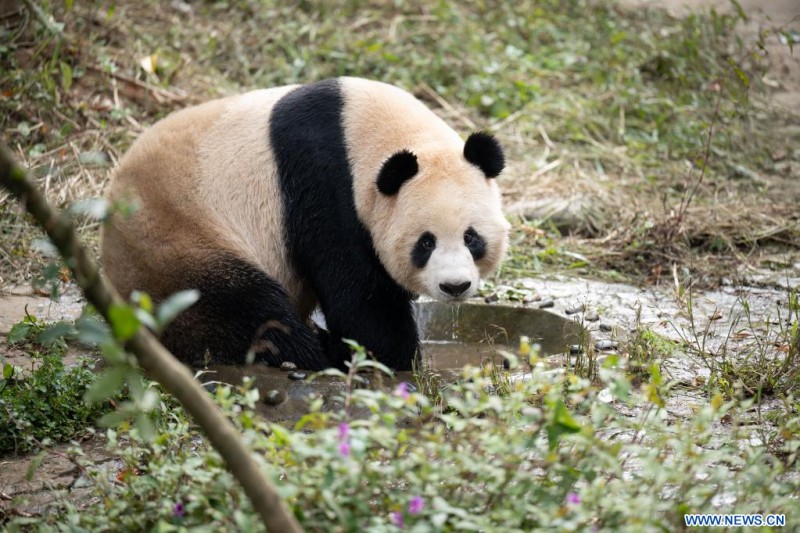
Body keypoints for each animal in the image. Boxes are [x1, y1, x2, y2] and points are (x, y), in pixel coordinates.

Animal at [101, 77, 509, 371]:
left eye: (472, 238)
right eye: (425, 242)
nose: (454, 286)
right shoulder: (325, 190)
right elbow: (360, 298)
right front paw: (397, 357)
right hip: (176, 241)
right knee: (247, 309)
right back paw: (316, 352)